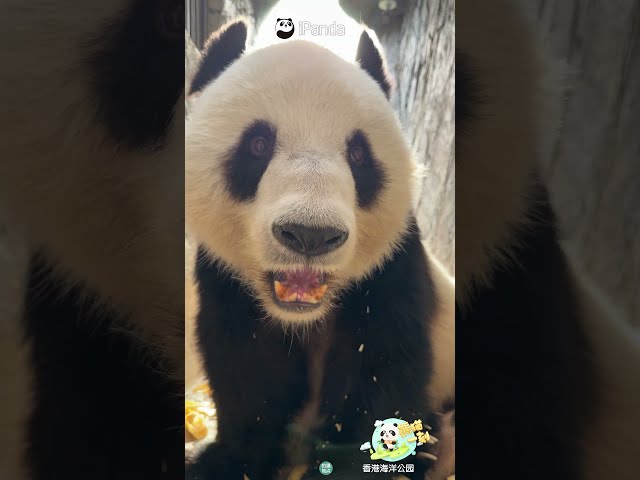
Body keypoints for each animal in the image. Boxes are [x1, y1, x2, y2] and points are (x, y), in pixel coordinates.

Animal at [185, 19, 455, 480]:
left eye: (359, 153)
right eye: (258, 144)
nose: (310, 235)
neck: (303, 316)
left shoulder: (392, 267)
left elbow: (381, 367)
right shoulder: (224, 276)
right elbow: (245, 366)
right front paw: (226, 461)